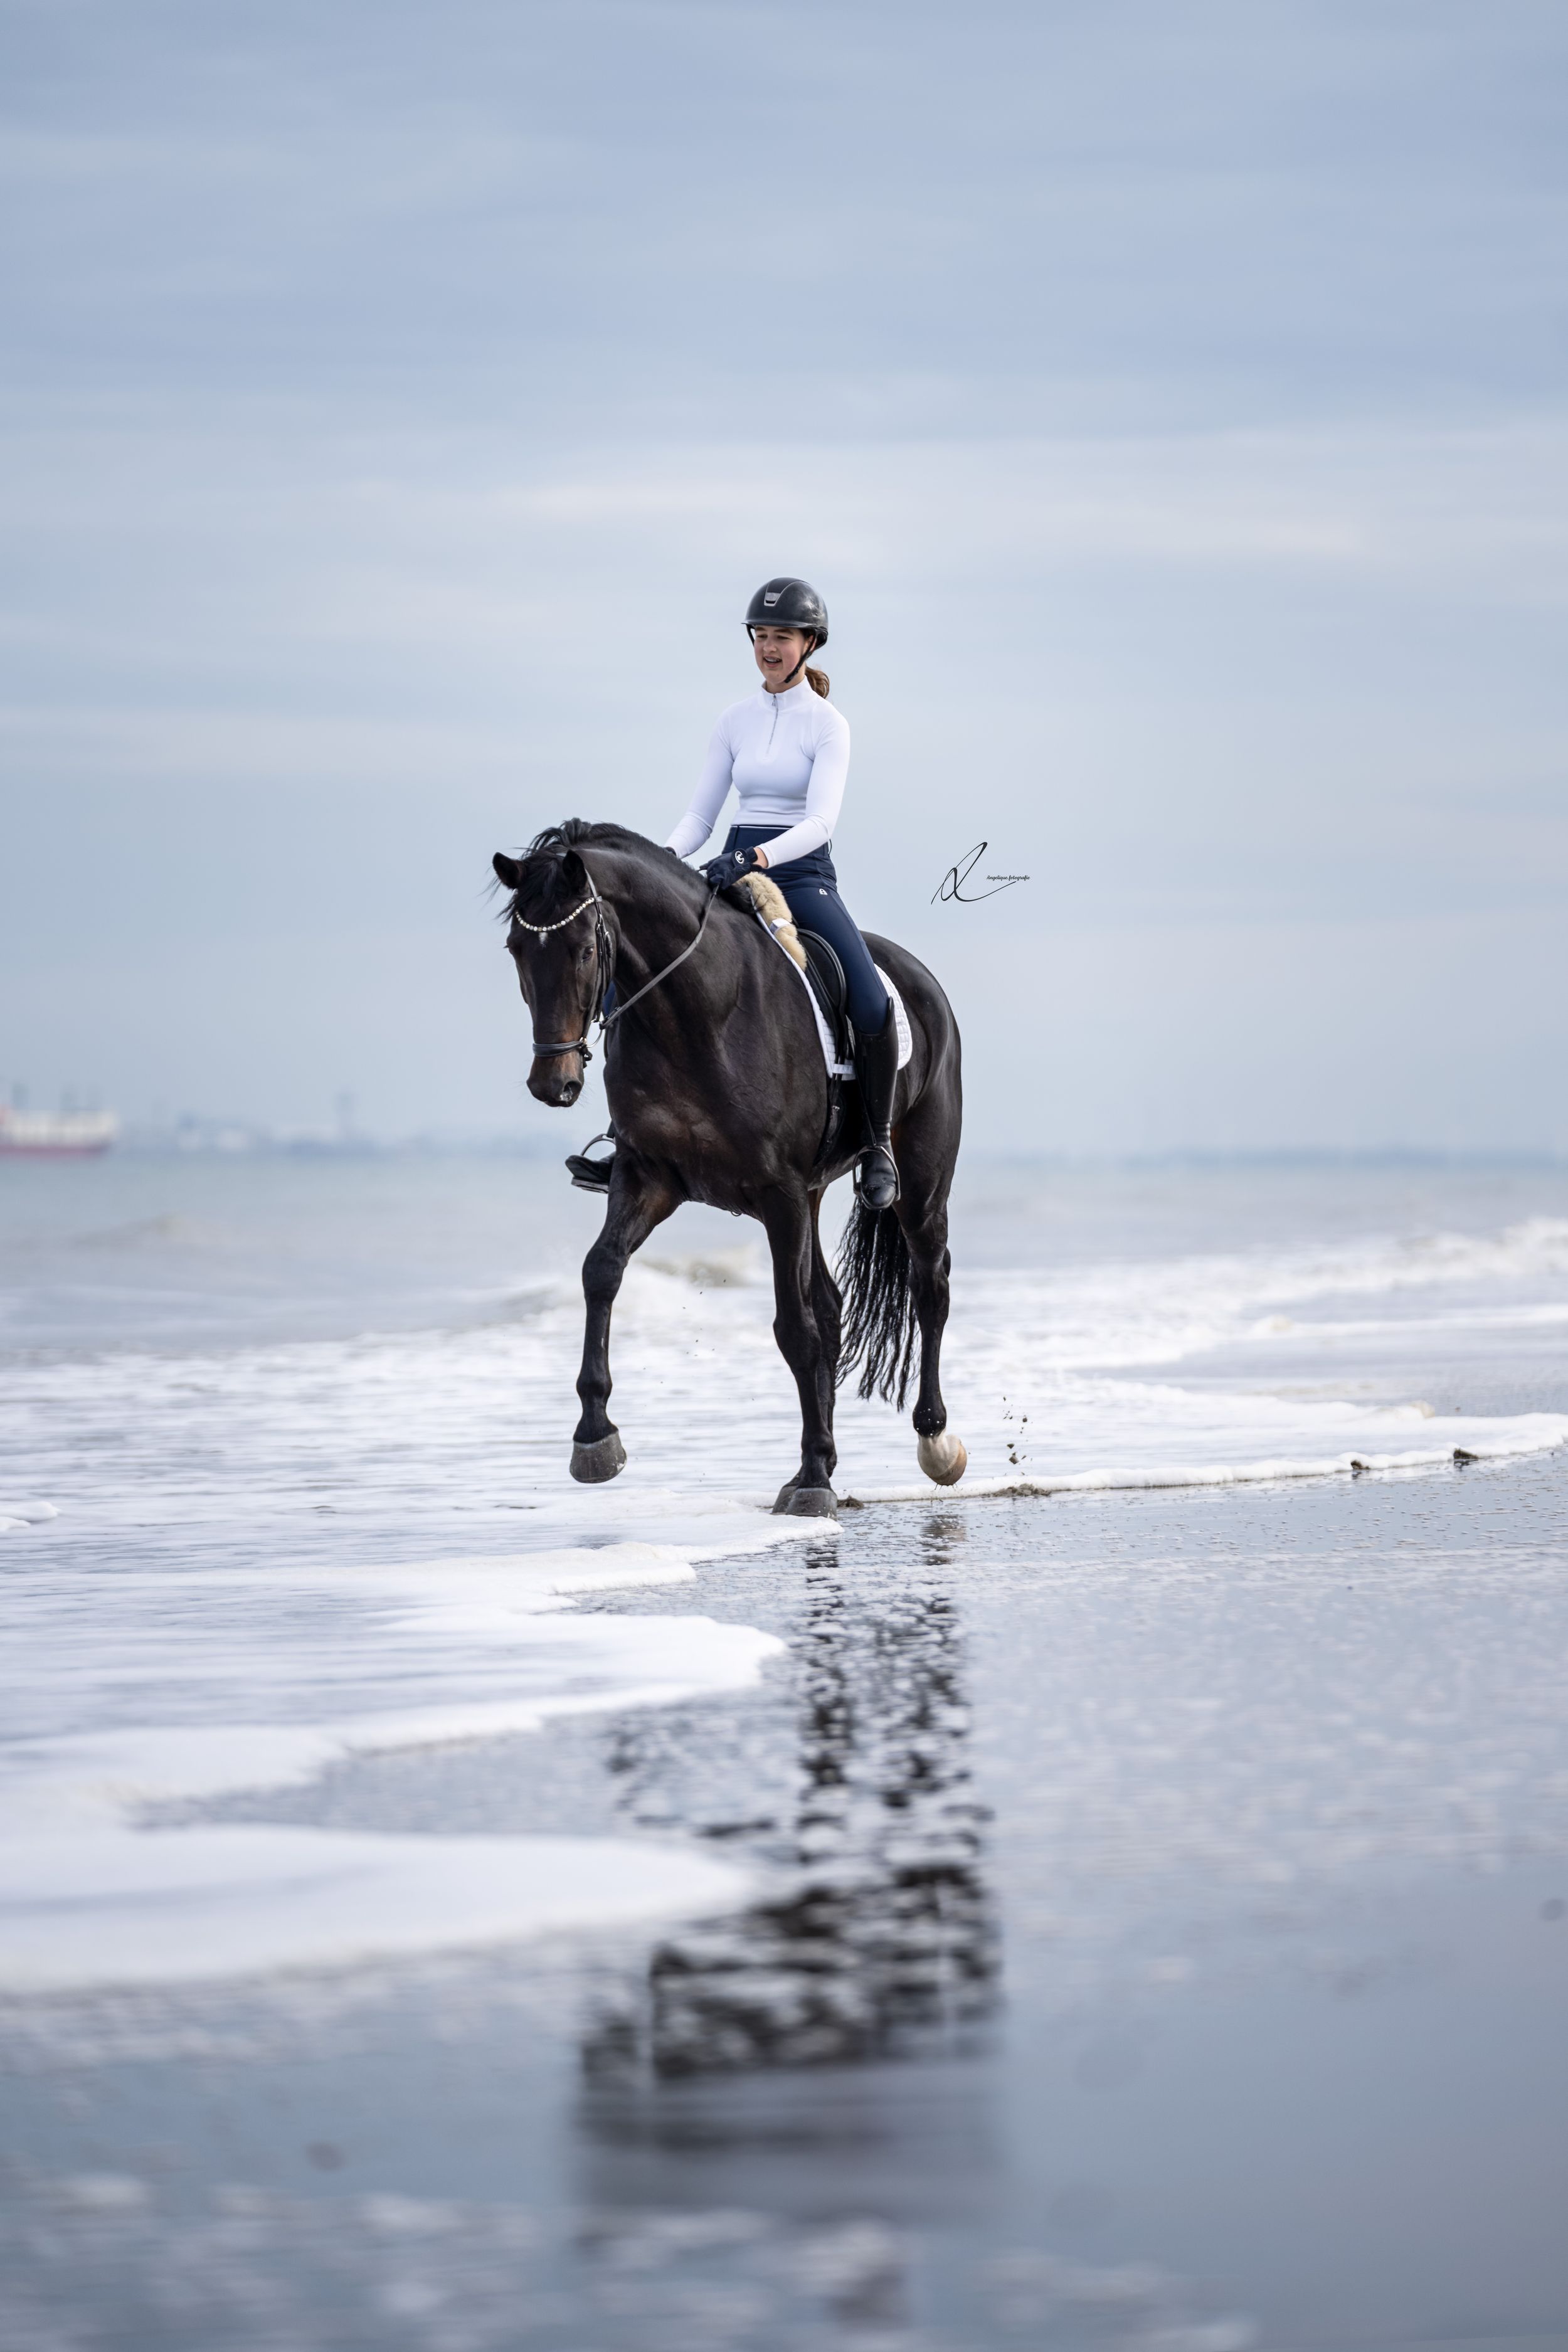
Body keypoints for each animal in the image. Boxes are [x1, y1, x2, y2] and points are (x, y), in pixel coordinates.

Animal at [492, 822, 966, 1515]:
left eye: (582, 952)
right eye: (516, 949)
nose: (552, 1084)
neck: (697, 1012)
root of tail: (919, 978)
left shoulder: (778, 1192)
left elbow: (793, 1328)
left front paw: (815, 1480)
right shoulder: (650, 1177)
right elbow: (601, 1273)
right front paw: (595, 1437)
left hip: (919, 1182)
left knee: (930, 1286)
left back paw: (933, 1441)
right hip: (813, 1192)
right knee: (832, 1306)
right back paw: (821, 1458)